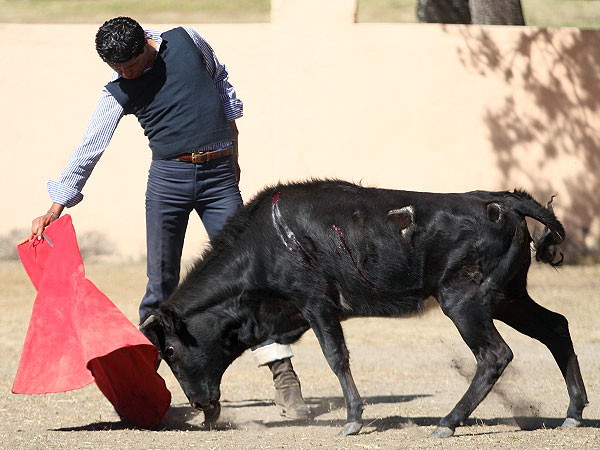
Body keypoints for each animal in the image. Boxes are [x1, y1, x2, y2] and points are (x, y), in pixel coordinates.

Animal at [141, 179, 584, 436]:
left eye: (170, 351)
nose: (200, 405)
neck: (262, 246)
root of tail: (505, 202)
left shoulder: (316, 303)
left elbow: (336, 357)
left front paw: (353, 420)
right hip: (509, 297)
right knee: (556, 327)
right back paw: (574, 411)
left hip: (465, 300)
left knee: (494, 354)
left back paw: (448, 423)